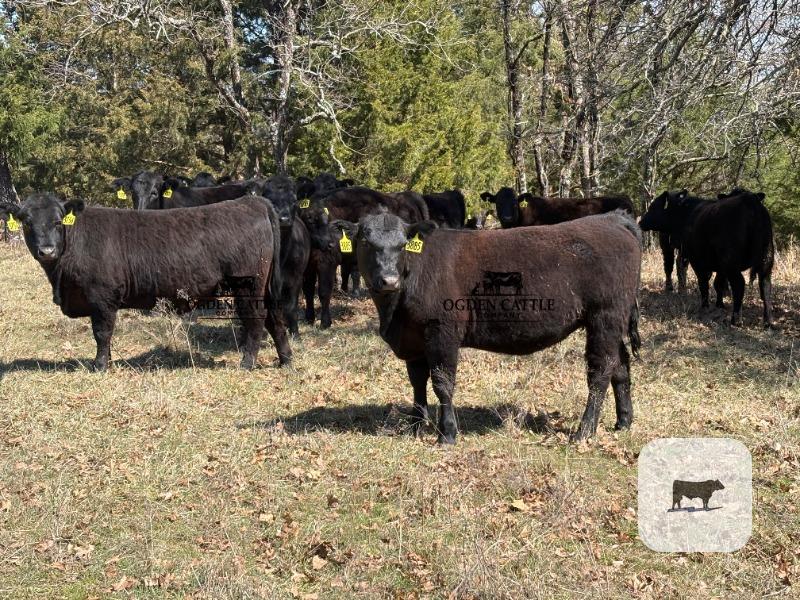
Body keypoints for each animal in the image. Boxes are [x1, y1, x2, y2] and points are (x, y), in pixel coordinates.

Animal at [0, 193, 292, 370]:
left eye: (58, 221)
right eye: (27, 222)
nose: (47, 250)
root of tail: (252, 201)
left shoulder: (102, 297)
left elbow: (102, 333)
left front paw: (100, 365)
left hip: (249, 287)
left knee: (256, 320)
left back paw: (247, 362)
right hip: (265, 288)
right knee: (275, 319)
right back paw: (286, 360)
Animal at [261, 175, 311, 337]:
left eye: (294, 200)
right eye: (270, 199)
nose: (283, 219)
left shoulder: (296, 279)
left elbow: (291, 307)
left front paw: (295, 333)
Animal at [355, 210, 642, 444]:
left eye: (403, 244)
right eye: (365, 242)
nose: (389, 280)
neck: (393, 315)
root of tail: (613, 219)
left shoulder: (442, 331)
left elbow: (442, 383)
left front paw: (447, 433)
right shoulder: (412, 338)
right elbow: (417, 382)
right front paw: (416, 426)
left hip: (605, 316)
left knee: (601, 370)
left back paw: (584, 431)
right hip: (611, 321)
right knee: (621, 366)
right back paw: (623, 421)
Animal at [639, 189, 774, 327]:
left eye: (652, 207)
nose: (641, 222)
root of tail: (750, 201)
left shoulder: (698, 260)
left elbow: (703, 282)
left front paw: (705, 306)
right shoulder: (718, 266)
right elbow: (717, 283)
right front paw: (719, 304)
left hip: (730, 262)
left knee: (739, 284)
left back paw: (736, 320)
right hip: (766, 258)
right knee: (765, 285)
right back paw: (768, 321)